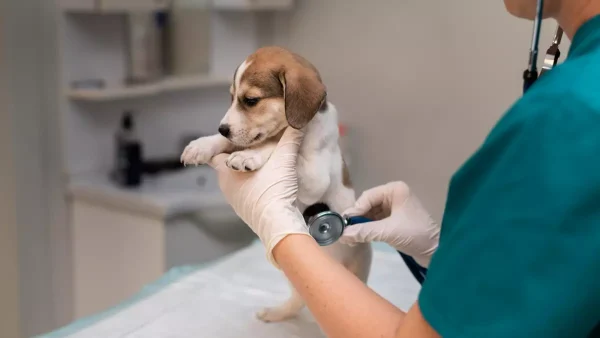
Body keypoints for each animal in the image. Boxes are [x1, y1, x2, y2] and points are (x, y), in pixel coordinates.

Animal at [180, 46, 372, 324]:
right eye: (231, 98)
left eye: (250, 100)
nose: (222, 128)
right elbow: (241, 142)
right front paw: (203, 144)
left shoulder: (315, 177)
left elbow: (273, 144)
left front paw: (250, 155)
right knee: (297, 300)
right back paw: (275, 313)